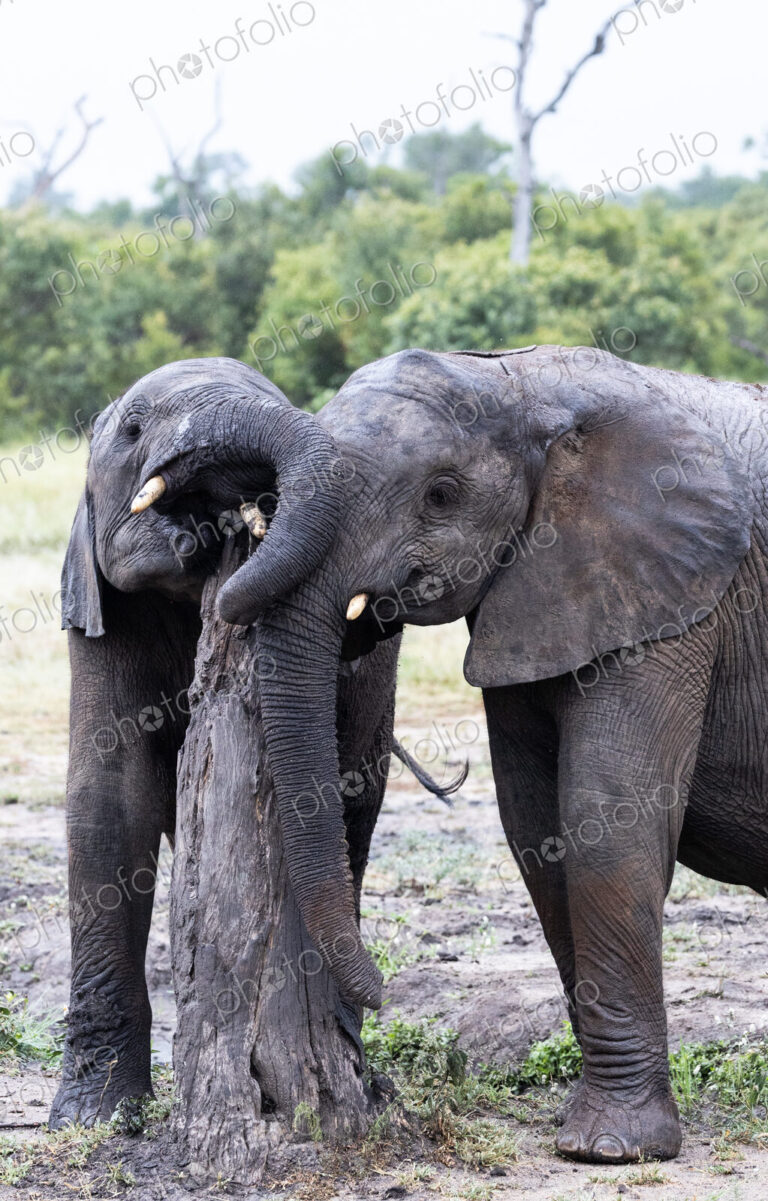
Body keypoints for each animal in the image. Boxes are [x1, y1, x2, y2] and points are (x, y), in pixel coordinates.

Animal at [51, 356, 458, 1127]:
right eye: (132, 428)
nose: (228, 511)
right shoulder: (104, 615)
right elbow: (109, 800)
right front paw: (96, 1117)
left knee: (358, 799)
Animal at [214, 343, 768, 1164]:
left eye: (441, 495)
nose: (379, 998)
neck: (523, 386)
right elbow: (536, 826)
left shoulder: (676, 599)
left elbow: (607, 818)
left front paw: (607, 1149)